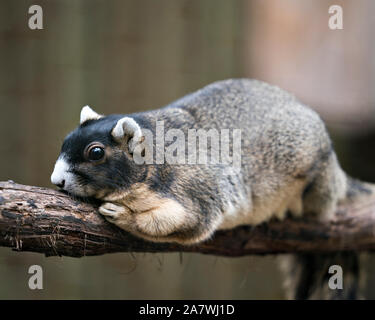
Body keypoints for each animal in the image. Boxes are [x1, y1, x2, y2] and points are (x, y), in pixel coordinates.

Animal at [50, 79, 375, 298]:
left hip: (317, 183)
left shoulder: (197, 187)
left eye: (96, 152)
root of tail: (338, 174)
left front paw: (123, 215)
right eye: (64, 141)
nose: (57, 181)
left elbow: (185, 222)